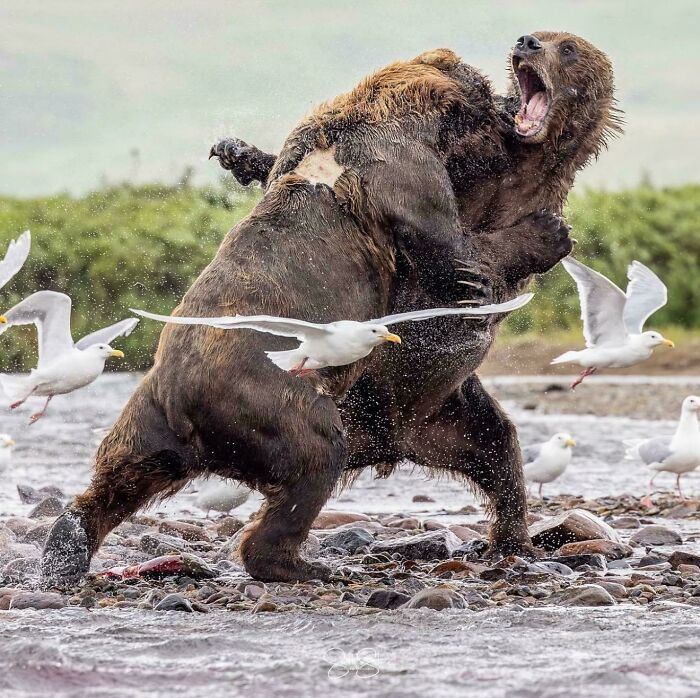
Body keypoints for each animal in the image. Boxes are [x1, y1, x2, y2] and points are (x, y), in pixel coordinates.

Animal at [40, 32, 620, 586]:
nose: (518, 56)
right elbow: (452, 252)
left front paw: (238, 152)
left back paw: (65, 549)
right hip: (274, 397)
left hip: (153, 418)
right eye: (483, 87)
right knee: (316, 460)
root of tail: (185, 403)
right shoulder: (406, 173)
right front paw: (546, 231)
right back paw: (304, 564)